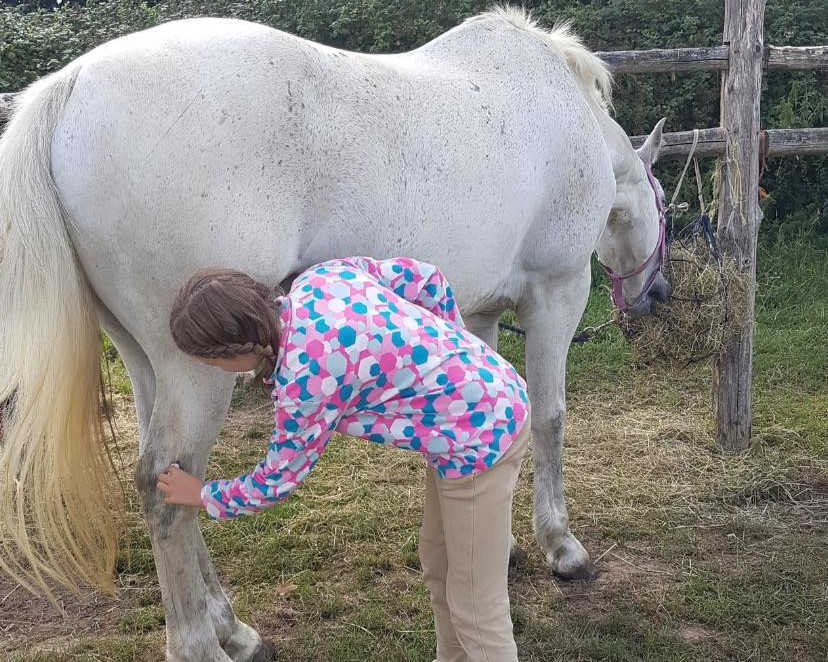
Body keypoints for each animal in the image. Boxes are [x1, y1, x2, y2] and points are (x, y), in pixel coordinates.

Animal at [0, 7, 667, 661]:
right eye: (661, 202)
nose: (655, 296)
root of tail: (73, 85)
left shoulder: (478, 313)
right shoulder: (558, 292)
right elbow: (549, 416)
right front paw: (562, 546)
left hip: (144, 362)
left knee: (173, 481)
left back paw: (233, 630)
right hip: (192, 372)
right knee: (163, 485)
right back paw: (200, 645)